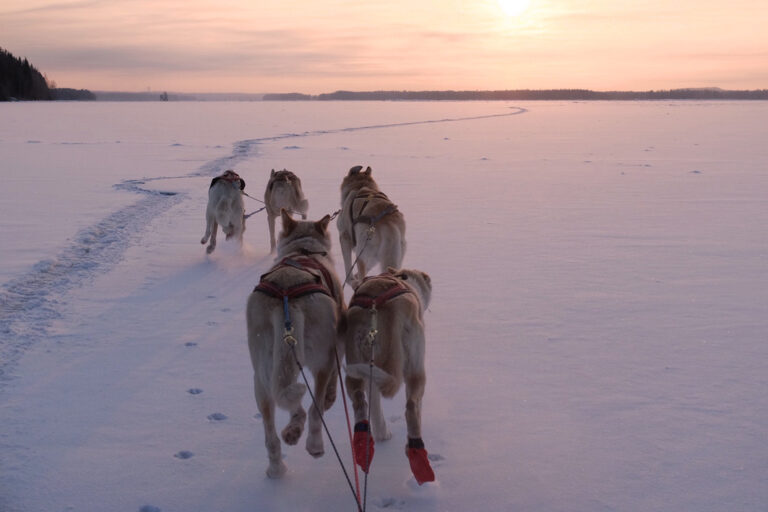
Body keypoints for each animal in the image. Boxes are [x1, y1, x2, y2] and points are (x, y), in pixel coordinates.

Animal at [246, 209, 344, 480]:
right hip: (321, 360)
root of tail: (287, 294)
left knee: (275, 427)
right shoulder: (335, 348)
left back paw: (278, 463)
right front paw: (331, 397)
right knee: (314, 409)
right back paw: (314, 443)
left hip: (262, 377)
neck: (303, 250)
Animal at [344, 268, 436, 484]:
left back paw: (364, 446)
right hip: (416, 369)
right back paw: (418, 459)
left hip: (355, 369)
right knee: (411, 408)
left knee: (360, 402)